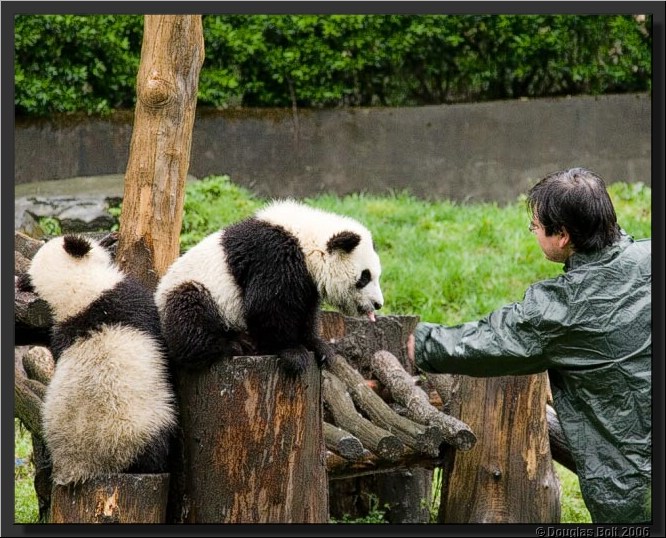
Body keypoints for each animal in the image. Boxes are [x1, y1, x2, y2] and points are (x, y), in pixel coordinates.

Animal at [23, 234, 177, 485]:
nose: (105, 240)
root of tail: (81, 469)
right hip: (143, 428)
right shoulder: (129, 298)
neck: (75, 293)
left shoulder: (59, 335)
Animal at [154, 199, 384, 376]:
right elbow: (267, 306)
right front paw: (293, 353)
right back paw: (233, 345)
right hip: (194, 289)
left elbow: (306, 311)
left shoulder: (307, 280)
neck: (306, 240)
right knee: (189, 315)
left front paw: (319, 347)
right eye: (365, 277)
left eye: (376, 275)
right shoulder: (272, 256)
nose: (378, 304)